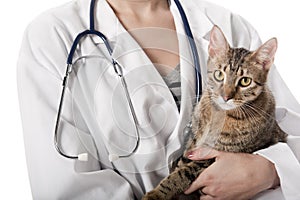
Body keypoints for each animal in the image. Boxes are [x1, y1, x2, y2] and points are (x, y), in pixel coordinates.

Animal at [142, 25, 288, 200]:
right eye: (219, 74)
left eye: (245, 81)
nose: (226, 97)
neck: (218, 114)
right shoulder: (193, 142)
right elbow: (181, 163)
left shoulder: (208, 158)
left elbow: (181, 175)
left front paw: (157, 193)